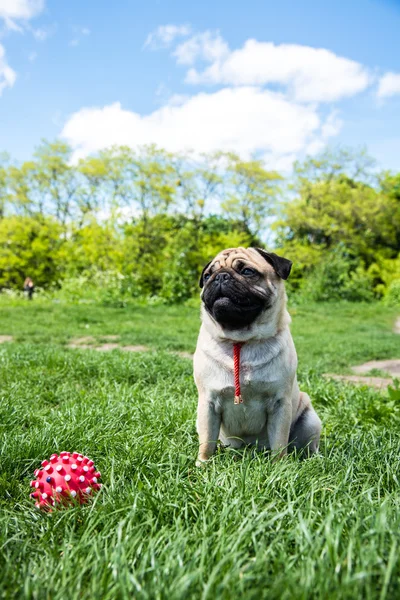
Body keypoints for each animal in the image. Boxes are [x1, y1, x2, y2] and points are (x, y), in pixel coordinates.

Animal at [192, 246, 320, 466]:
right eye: (207, 275)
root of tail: (250, 448)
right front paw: (203, 464)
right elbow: (207, 441)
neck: (242, 340)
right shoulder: (207, 403)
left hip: (310, 420)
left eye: (247, 271)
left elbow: (279, 443)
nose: (220, 277)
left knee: (308, 446)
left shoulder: (280, 404)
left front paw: (279, 466)